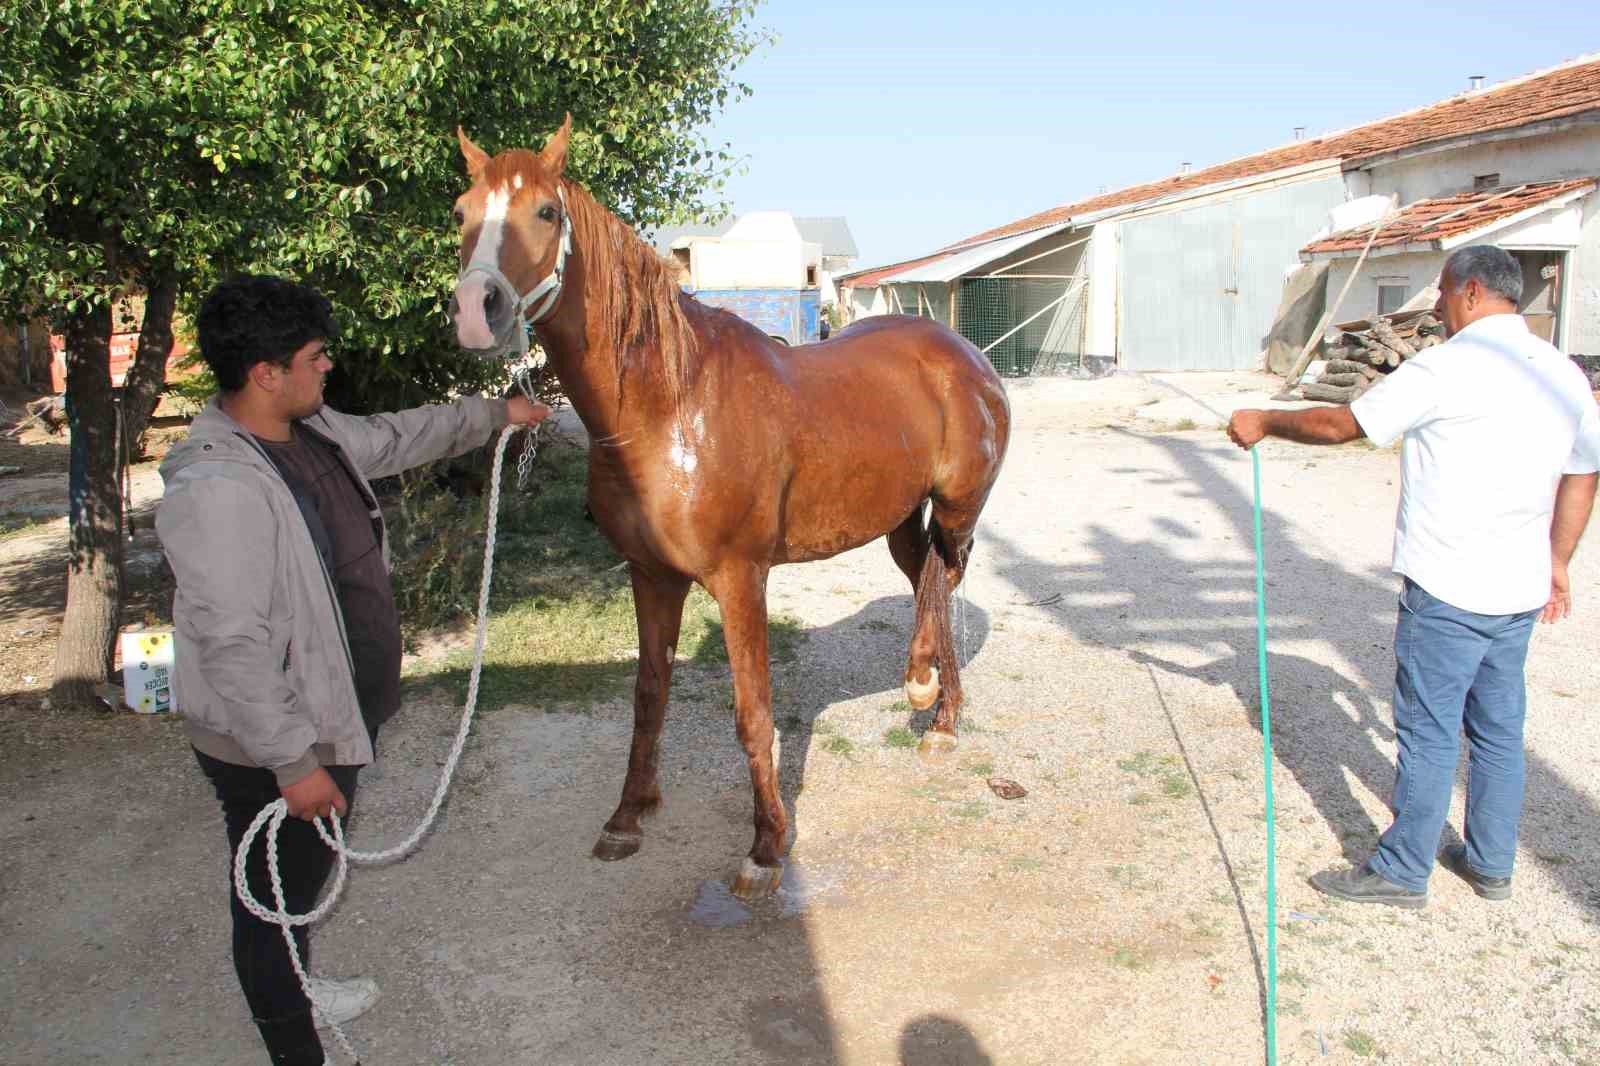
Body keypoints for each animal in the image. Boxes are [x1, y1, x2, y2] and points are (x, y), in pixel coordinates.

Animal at [451, 118, 1004, 896]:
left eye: (547, 212)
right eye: (461, 213)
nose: (477, 310)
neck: (669, 408)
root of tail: (965, 354)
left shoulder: (742, 579)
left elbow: (753, 711)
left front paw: (766, 846)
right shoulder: (650, 575)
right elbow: (648, 695)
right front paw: (627, 817)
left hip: (957, 510)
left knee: (943, 579)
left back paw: (929, 695)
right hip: (899, 521)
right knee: (929, 578)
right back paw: (938, 714)